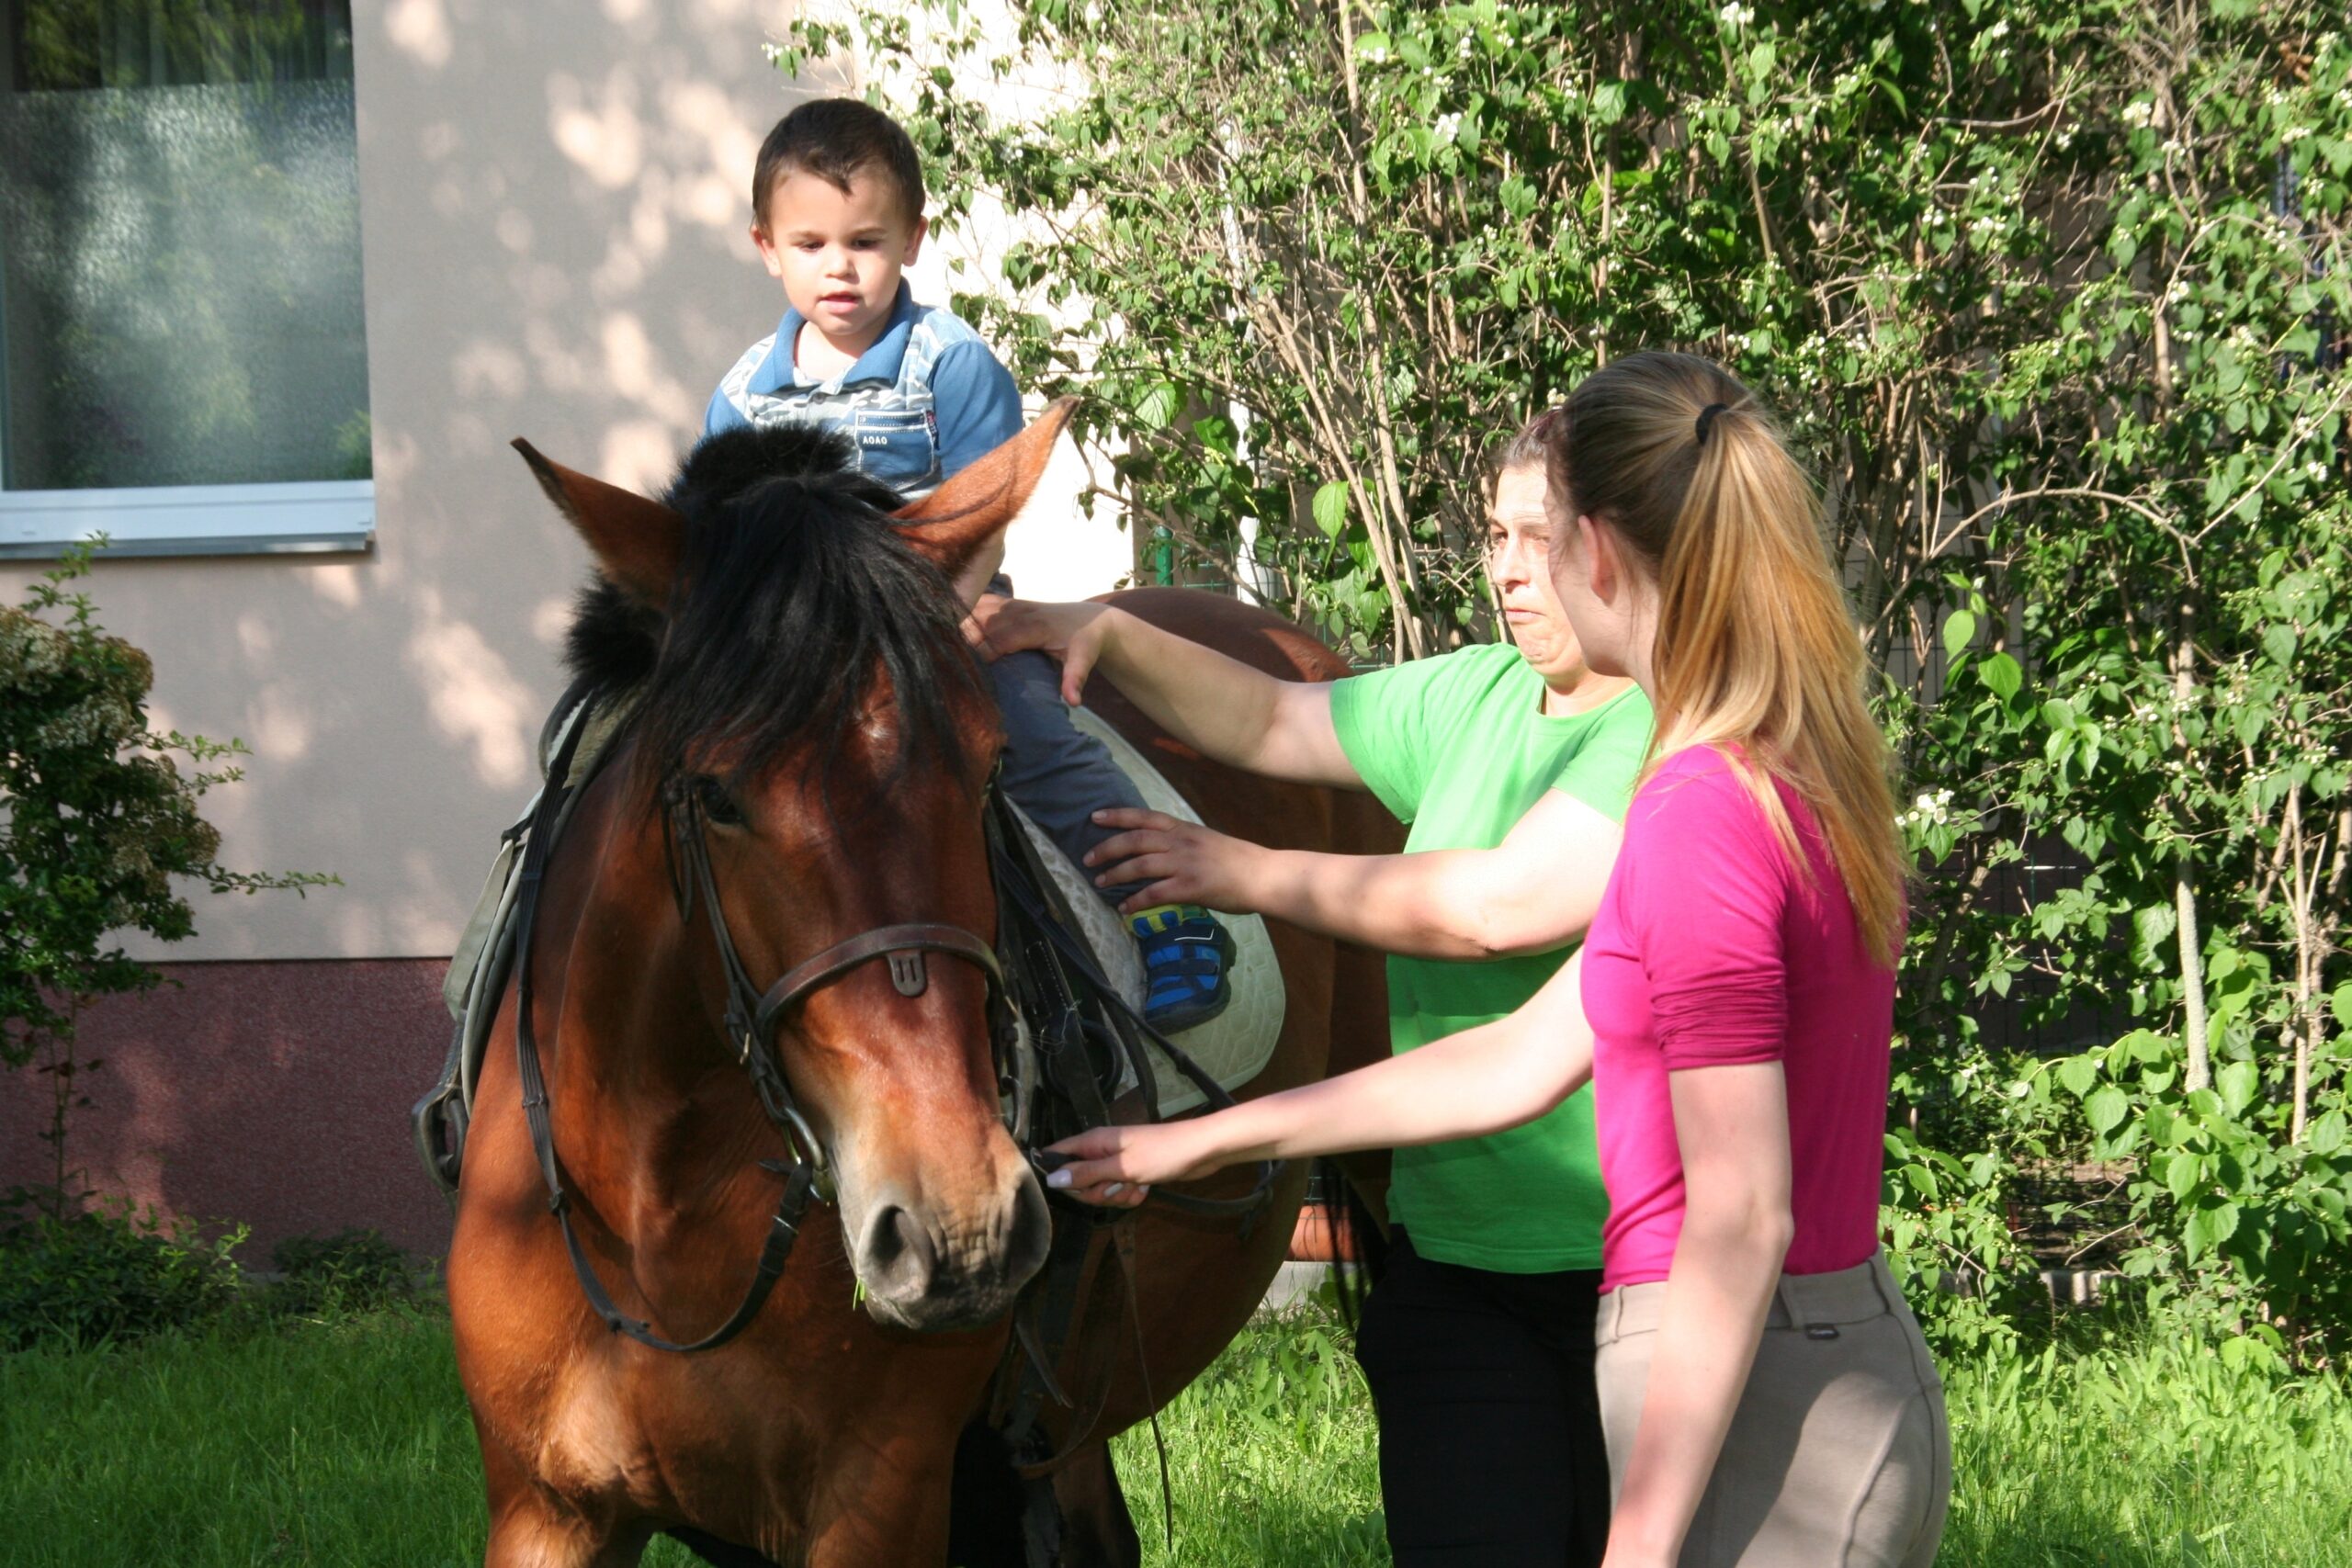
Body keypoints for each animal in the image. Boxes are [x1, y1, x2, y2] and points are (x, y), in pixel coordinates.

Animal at [448, 409, 1392, 1568]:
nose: (960, 1220)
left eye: (990, 769)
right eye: (715, 795)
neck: (655, 1205)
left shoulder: (878, 1497)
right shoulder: (548, 1509)